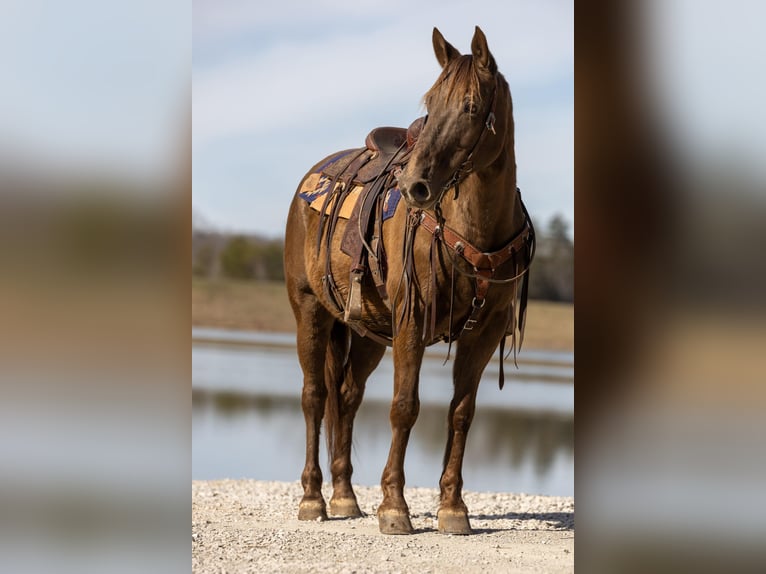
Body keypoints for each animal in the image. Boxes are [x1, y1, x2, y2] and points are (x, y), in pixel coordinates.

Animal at [284, 24, 536, 536]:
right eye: (430, 104)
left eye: (471, 107)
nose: (416, 186)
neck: (473, 228)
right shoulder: (412, 320)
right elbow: (404, 406)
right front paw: (394, 506)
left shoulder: (485, 332)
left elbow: (462, 412)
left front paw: (453, 508)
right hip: (310, 311)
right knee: (315, 397)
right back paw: (313, 498)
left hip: (367, 334)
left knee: (347, 396)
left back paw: (344, 496)